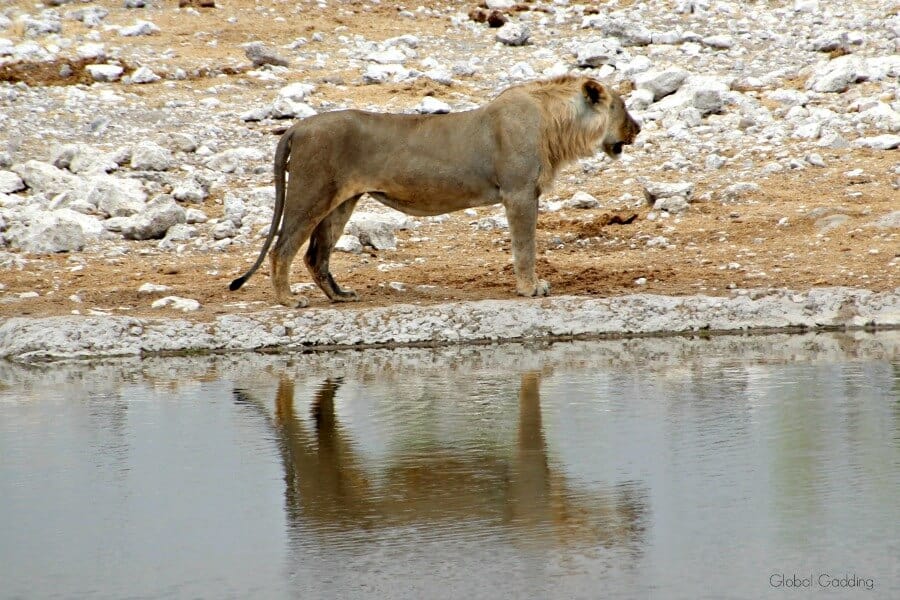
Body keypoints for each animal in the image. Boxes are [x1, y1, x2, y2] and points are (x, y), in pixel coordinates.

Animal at [230, 75, 641, 307]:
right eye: (622, 107)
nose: (637, 128)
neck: (556, 125)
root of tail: (297, 126)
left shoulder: (525, 193)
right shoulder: (520, 193)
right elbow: (525, 247)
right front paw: (531, 289)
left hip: (341, 202)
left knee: (316, 255)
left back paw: (340, 297)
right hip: (310, 194)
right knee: (282, 248)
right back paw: (288, 301)